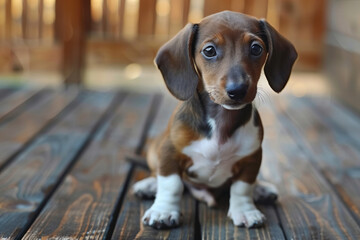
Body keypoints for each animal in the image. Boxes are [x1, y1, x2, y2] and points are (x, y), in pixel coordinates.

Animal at [134, 10, 296, 229]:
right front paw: (163, 211)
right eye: (209, 50)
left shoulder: (252, 158)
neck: (221, 121)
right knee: (156, 172)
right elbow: (171, 184)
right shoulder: (169, 151)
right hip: (154, 148)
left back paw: (261, 189)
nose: (237, 90)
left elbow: (242, 188)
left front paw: (245, 210)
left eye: (256, 48)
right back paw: (150, 184)